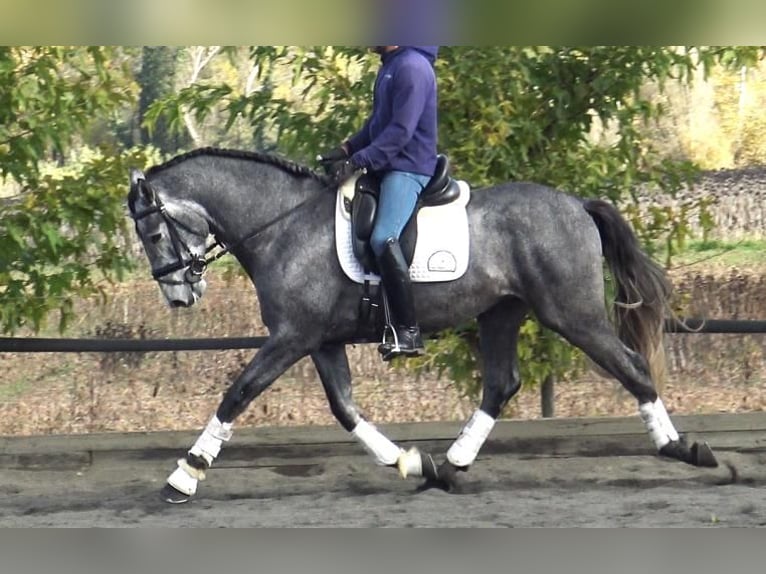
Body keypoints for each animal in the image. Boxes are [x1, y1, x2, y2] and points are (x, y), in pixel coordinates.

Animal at [127, 148, 720, 504]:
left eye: (153, 235)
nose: (178, 295)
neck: (282, 226)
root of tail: (576, 203)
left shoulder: (291, 338)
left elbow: (238, 393)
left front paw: (185, 474)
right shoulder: (320, 341)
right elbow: (345, 411)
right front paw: (411, 462)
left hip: (572, 314)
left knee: (633, 366)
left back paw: (683, 449)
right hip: (501, 312)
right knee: (501, 384)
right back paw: (452, 465)